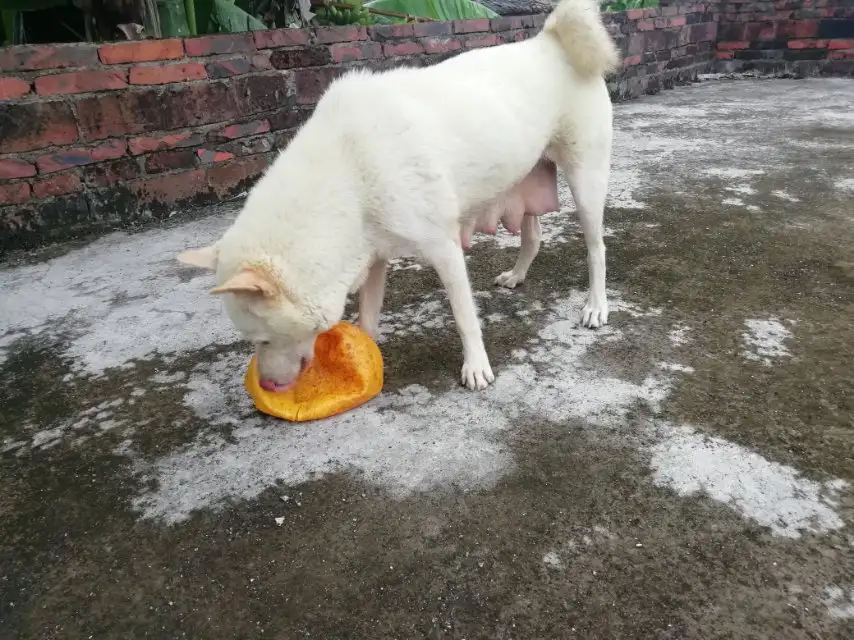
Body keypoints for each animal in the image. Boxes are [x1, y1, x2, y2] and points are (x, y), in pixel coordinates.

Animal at [179, 0, 616, 390]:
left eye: (263, 340)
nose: (268, 386)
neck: (347, 170)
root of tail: (551, 40)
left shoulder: (443, 248)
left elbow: (463, 315)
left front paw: (476, 366)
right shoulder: (373, 257)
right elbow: (368, 317)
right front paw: (362, 358)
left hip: (586, 182)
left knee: (597, 248)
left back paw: (596, 306)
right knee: (534, 235)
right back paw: (518, 274)